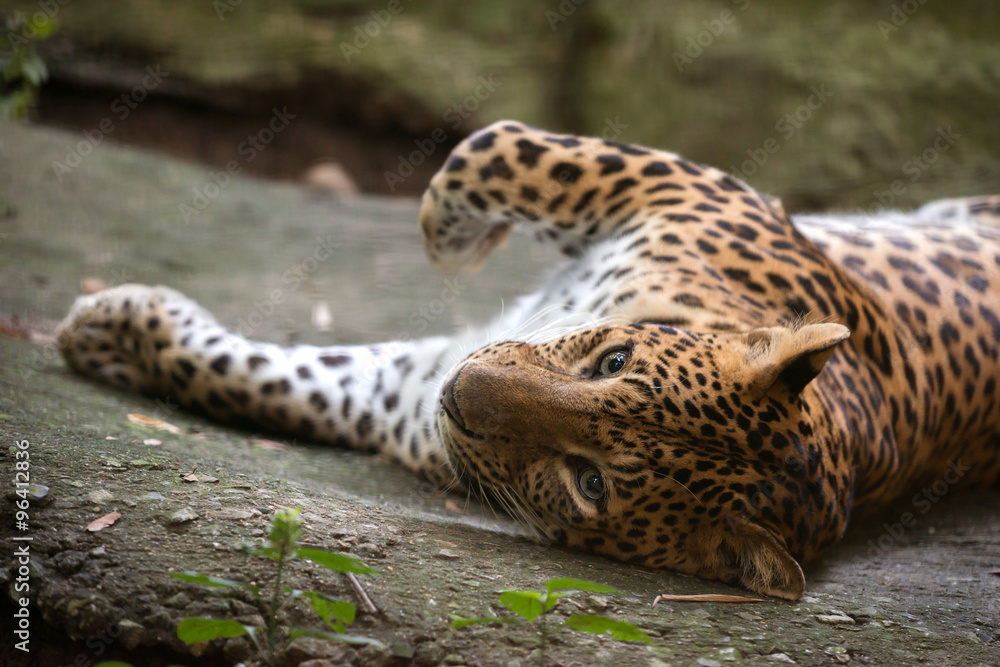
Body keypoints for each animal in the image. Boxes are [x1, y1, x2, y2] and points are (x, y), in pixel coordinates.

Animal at [56, 120, 1000, 599]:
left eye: (590, 482)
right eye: (613, 358)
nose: (465, 390)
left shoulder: (403, 395)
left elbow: (268, 382)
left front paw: (110, 331)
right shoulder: (672, 183)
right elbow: (488, 149)